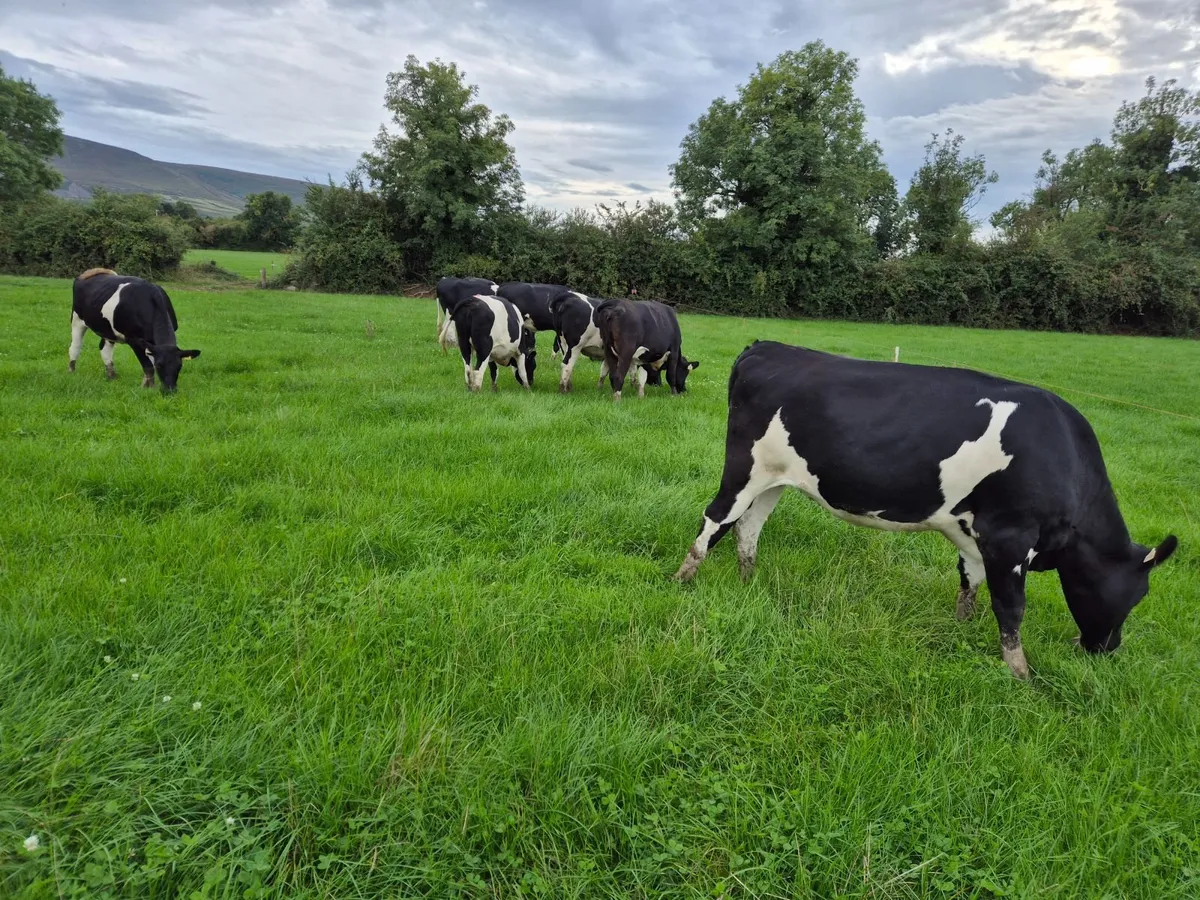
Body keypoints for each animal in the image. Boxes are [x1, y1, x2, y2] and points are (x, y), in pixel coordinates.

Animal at [69, 268, 201, 393]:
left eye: (179, 366)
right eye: (159, 365)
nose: (170, 390)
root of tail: (91, 272)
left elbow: (150, 362)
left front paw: (147, 385)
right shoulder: (134, 340)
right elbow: (148, 366)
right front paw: (149, 388)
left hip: (108, 328)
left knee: (104, 348)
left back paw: (112, 376)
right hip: (77, 319)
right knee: (75, 346)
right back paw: (71, 371)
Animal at [673, 341, 1179, 679]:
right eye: (1137, 595)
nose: (1107, 648)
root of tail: (766, 346)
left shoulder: (973, 533)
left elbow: (970, 582)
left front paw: (962, 629)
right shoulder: (1010, 536)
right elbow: (1011, 606)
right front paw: (1020, 672)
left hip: (775, 478)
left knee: (749, 527)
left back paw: (749, 582)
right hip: (744, 467)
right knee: (716, 518)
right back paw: (683, 579)